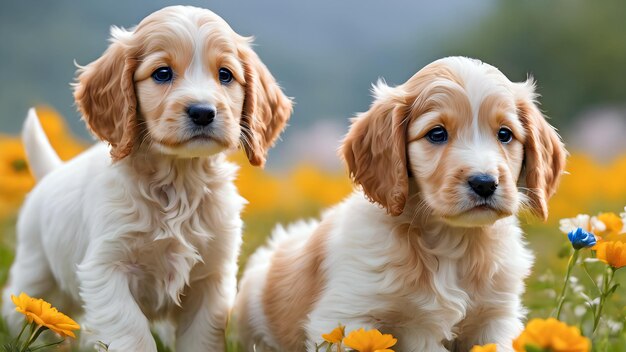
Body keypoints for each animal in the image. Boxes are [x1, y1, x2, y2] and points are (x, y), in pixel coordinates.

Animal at [2, 6, 292, 352]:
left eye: (225, 75)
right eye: (162, 73)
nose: (203, 112)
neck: (178, 181)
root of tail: (52, 173)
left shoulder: (211, 279)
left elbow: (200, 337)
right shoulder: (107, 268)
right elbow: (131, 331)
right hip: (35, 272)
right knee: (20, 306)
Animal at [234, 56, 564, 350]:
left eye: (505, 134)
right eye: (437, 133)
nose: (484, 183)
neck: (450, 241)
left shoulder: (495, 319)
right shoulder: (348, 317)